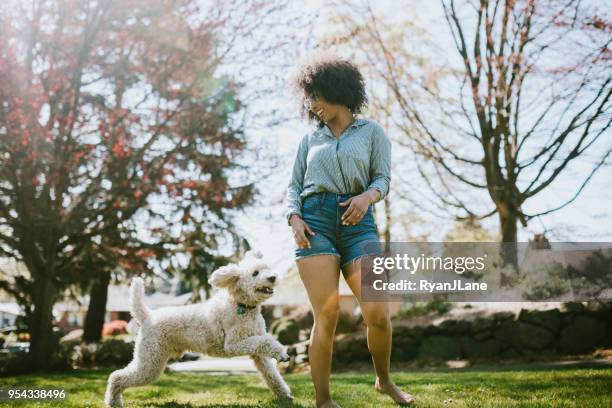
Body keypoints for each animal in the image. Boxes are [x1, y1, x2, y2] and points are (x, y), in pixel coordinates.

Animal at [104, 250, 292, 406]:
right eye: (255, 273)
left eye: (267, 268)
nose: (273, 277)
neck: (242, 306)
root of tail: (147, 316)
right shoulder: (234, 345)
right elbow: (265, 341)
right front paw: (281, 352)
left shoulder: (258, 354)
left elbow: (271, 375)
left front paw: (285, 396)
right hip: (150, 361)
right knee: (116, 376)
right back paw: (113, 401)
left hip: (152, 359)